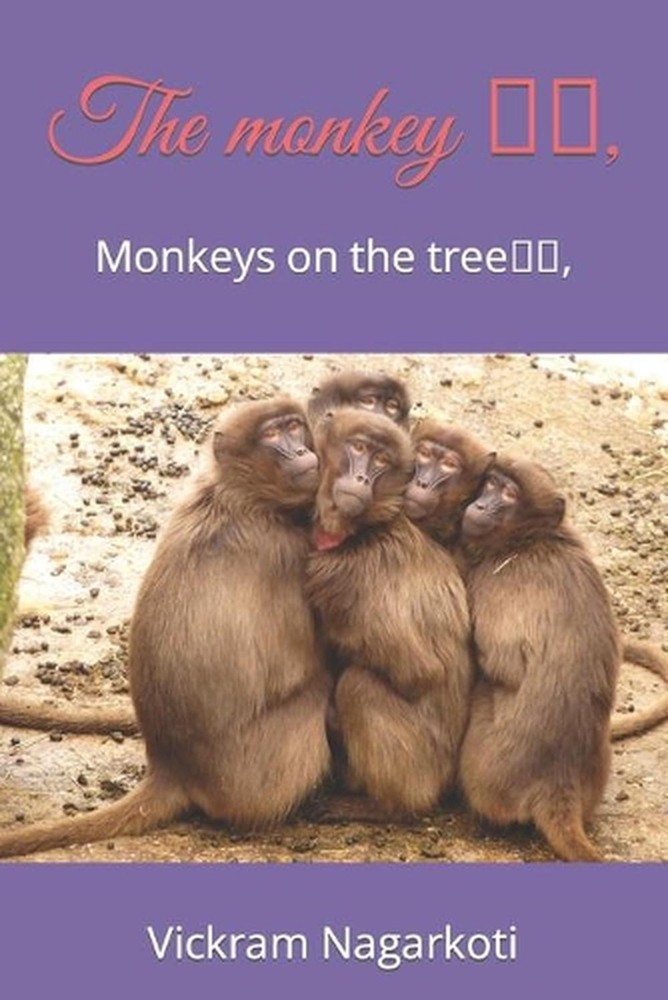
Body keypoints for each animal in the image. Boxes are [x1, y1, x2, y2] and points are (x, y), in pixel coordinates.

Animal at [0, 398, 331, 858]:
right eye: (271, 435)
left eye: (294, 427)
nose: (300, 451)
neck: (238, 497)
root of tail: (173, 768)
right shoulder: (289, 550)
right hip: (261, 774)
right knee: (319, 691)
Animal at [305, 409, 473, 818]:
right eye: (358, 448)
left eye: (381, 460)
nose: (362, 478)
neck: (363, 529)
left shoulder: (348, 577)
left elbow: (418, 672)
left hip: (420, 768)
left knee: (358, 686)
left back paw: (381, 806)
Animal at [456, 456, 620, 861]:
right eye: (491, 484)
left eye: (509, 494)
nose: (481, 505)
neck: (531, 540)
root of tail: (558, 782)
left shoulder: (495, 582)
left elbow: (500, 663)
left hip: (491, 769)